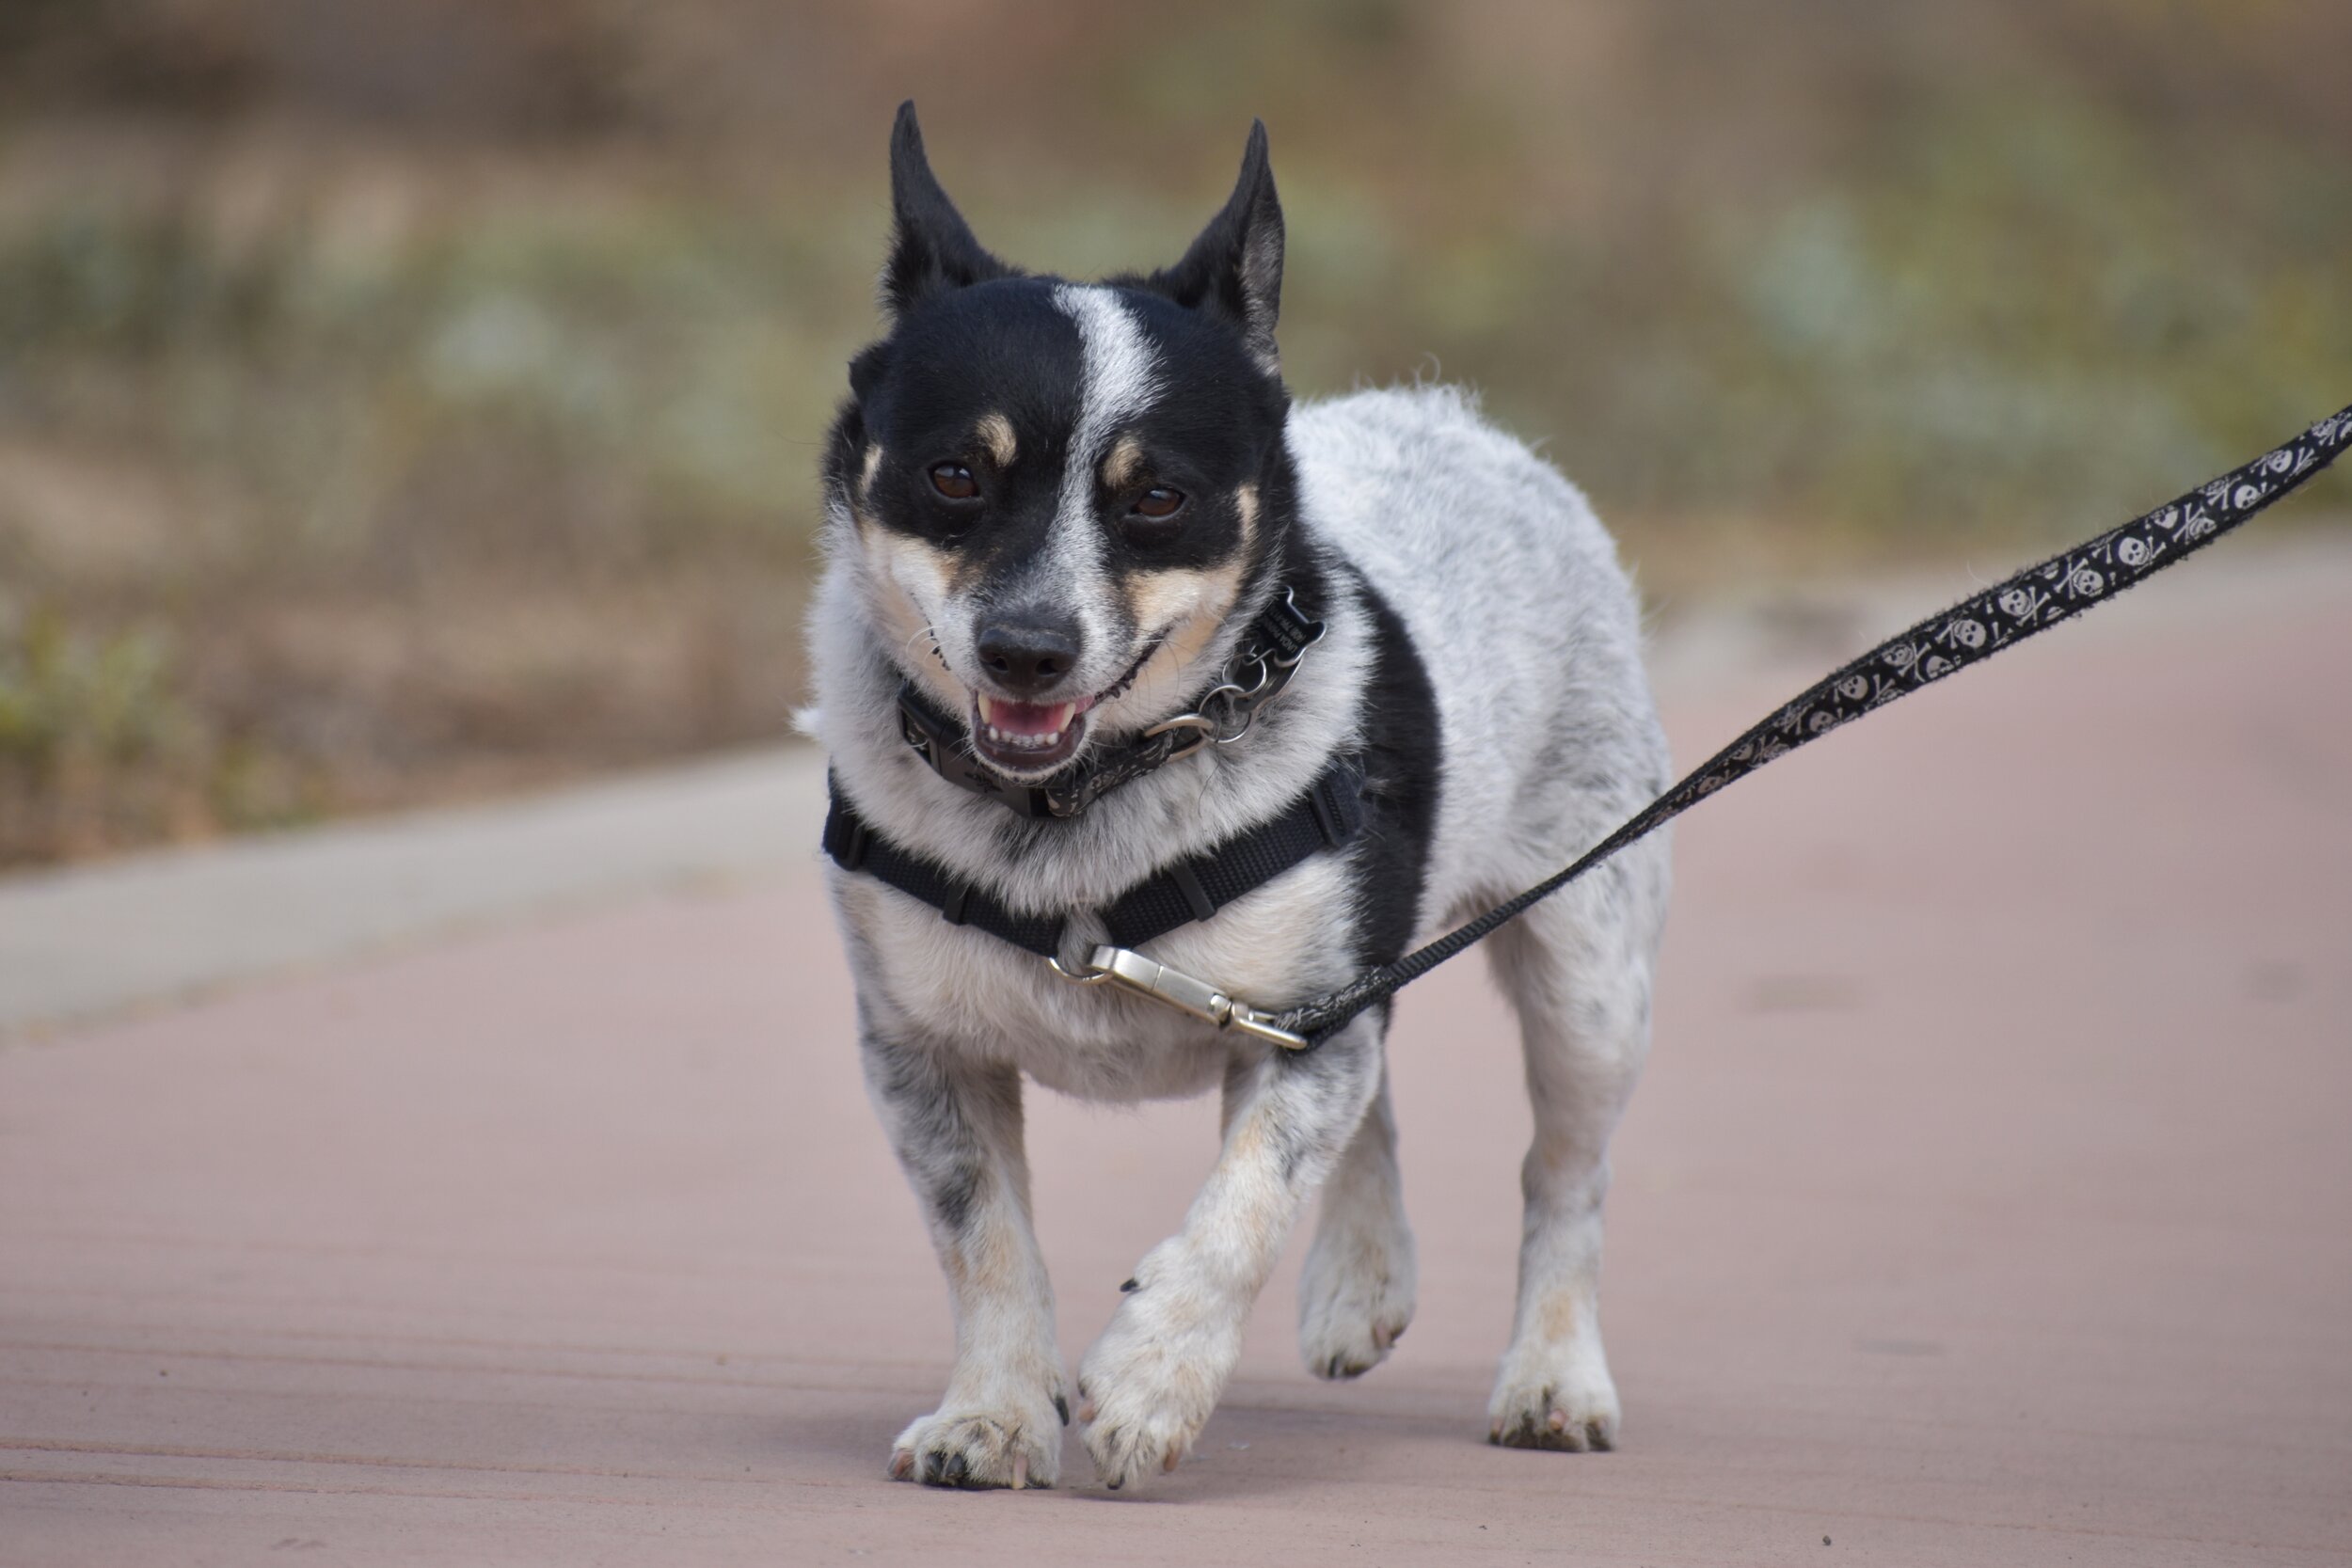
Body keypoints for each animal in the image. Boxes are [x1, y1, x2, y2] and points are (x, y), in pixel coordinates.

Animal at [809, 103, 1675, 1495]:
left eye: (1157, 496)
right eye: (952, 476)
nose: (1027, 648)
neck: (1081, 806)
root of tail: (1467, 422)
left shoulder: (1296, 1017)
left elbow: (1246, 1201)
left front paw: (1155, 1374)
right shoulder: (918, 1047)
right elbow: (982, 1234)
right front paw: (992, 1410)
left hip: (1589, 971)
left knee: (1565, 1177)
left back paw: (1551, 1372)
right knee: (1383, 1087)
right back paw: (1362, 1281)